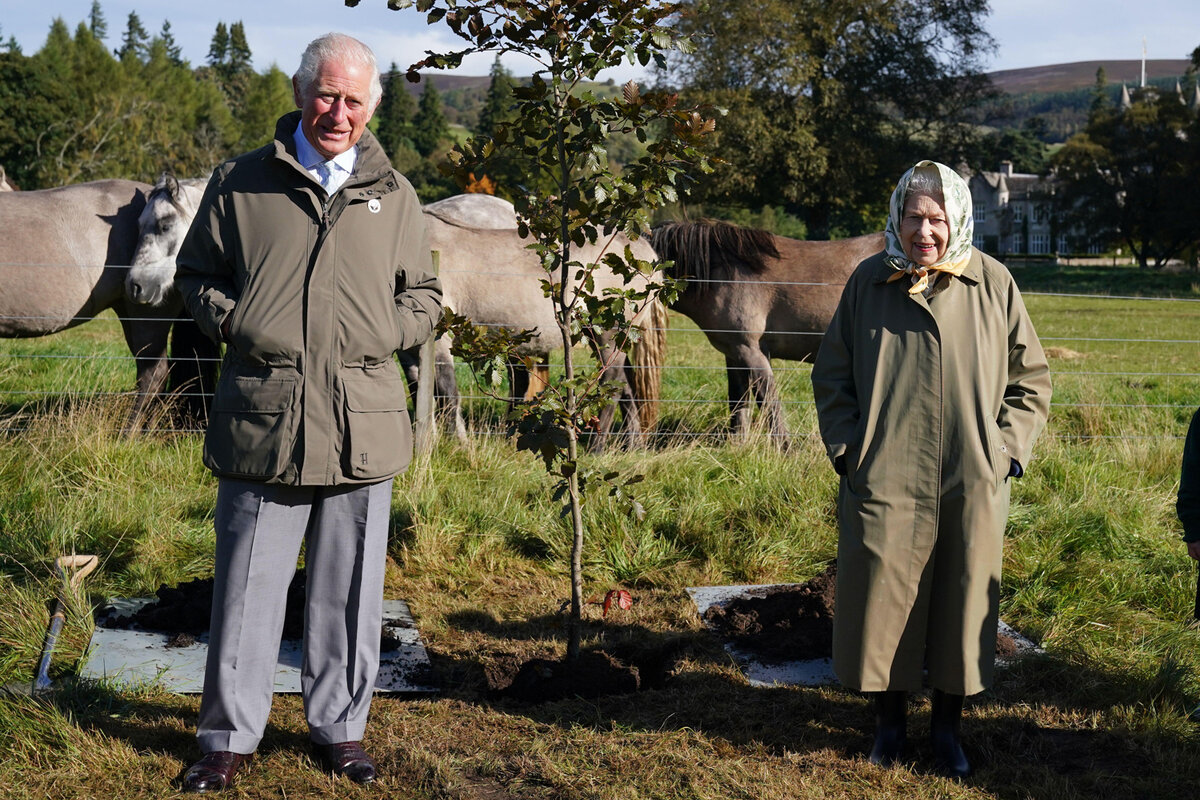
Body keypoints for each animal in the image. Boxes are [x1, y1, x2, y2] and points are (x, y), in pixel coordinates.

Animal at [648, 219, 883, 443]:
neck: (722, 274)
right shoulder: (734, 354)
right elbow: (738, 402)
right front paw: (737, 445)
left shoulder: (750, 351)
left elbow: (768, 401)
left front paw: (785, 449)